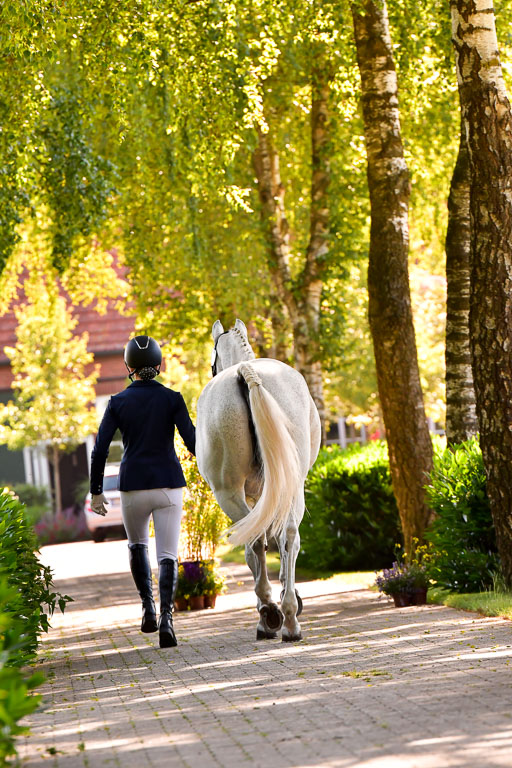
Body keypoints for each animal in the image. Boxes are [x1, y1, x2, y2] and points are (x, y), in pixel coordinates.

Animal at [196, 319, 321, 641]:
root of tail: (246, 372)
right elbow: (280, 540)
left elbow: (257, 547)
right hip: (292, 485)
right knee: (289, 536)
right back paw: (289, 618)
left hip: (228, 493)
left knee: (254, 540)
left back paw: (269, 612)